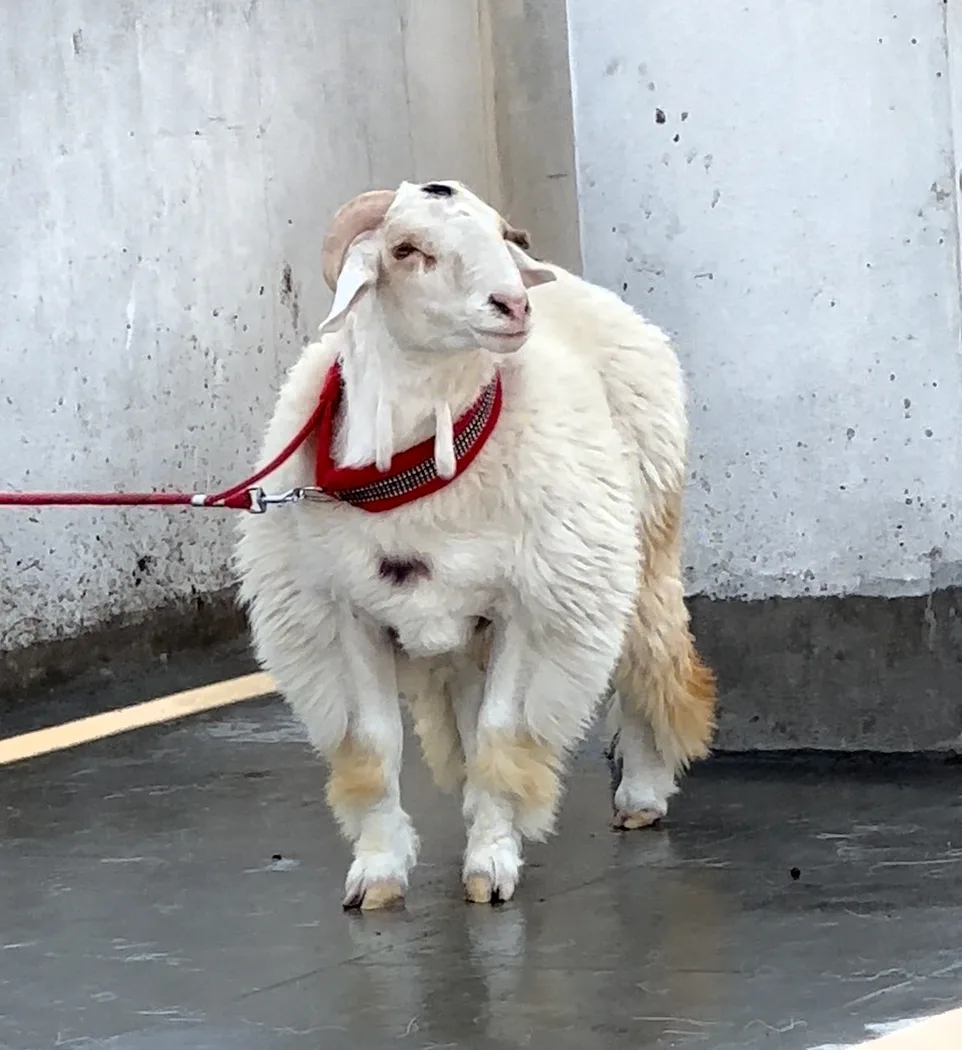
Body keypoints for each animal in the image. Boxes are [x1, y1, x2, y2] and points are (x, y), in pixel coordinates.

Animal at [235, 179, 716, 910]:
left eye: (501, 235)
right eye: (407, 249)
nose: (514, 305)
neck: (420, 466)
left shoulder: (535, 607)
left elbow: (502, 730)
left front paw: (491, 865)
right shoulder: (342, 617)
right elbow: (374, 746)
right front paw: (378, 873)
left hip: (638, 551)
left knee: (647, 665)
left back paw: (641, 791)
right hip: (467, 633)